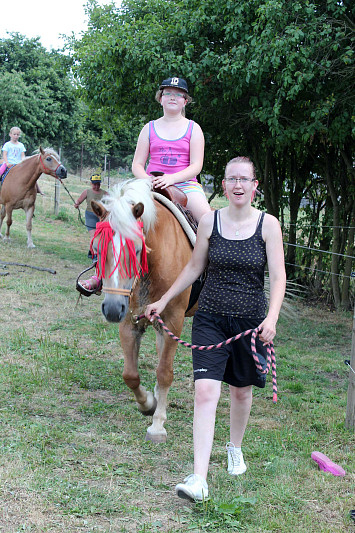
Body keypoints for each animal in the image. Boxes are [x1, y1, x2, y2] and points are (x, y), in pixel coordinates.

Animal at [90, 179, 196, 440]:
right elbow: (130, 375)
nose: (111, 309)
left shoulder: (173, 321)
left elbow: (165, 372)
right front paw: (148, 404)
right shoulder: (130, 320)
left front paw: (157, 425)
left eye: (137, 249)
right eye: (97, 248)